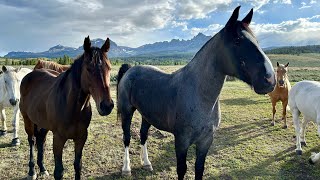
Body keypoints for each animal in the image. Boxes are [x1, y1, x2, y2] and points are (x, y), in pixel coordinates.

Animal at [19, 36, 114, 180]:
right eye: (88, 69)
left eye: (109, 68)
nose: (107, 106)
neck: (73, 107)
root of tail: (29, 75)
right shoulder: (58, 139)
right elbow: (59, 171)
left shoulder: (81, 137)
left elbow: (78, 166)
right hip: (27, 120)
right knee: (32, 140)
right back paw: (32, 171)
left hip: (42, 123)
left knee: (40, 140)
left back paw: (42, 168)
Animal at [117, 6, 276, 179]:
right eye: (237, 40)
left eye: (257, 41)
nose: (270, 78)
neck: (199, 97)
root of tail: (130, 70)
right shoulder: (181, 141)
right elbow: (182, 169)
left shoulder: (205, 141)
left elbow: (199, 168)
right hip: (127, 112)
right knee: (126, 138)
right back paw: (126, 168)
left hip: (147, 115)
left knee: (143, 135)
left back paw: (146, 163)